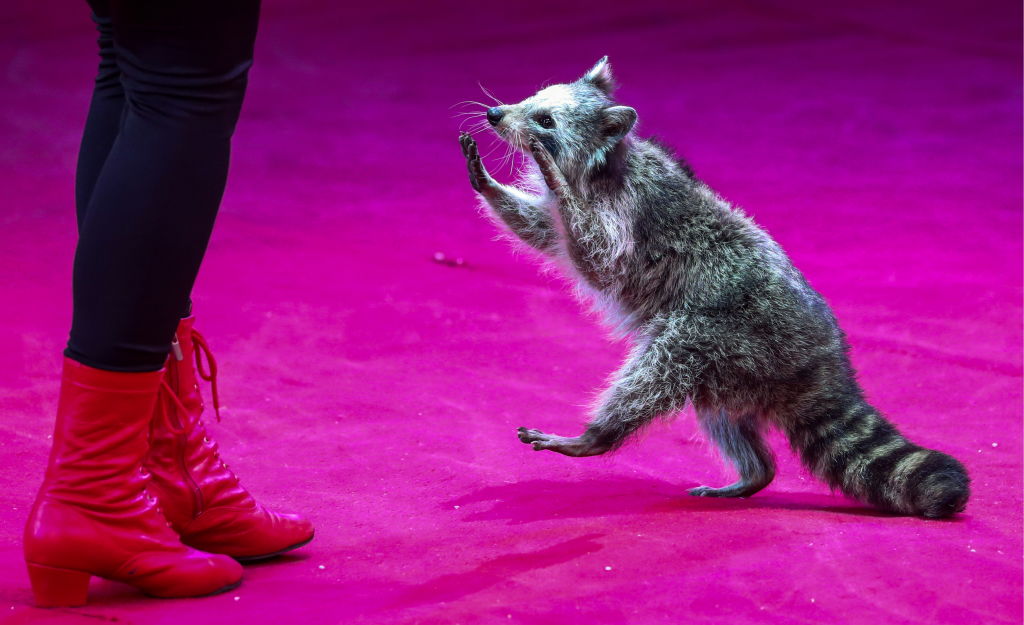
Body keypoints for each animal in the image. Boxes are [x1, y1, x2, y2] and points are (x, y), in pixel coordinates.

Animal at [458, 57, 969, 518]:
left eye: (546, 121)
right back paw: (755, 472)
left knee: (661, 366)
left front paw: (552, 183)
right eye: (532, 98)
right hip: (736, 371)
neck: (607, 161)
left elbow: (596, 256)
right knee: (720, 415)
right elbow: (547, 233)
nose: (496, 114)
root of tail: (824, 360)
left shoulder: (624, 213)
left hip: (726, 333)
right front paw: (490, 184)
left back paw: (596, 437)